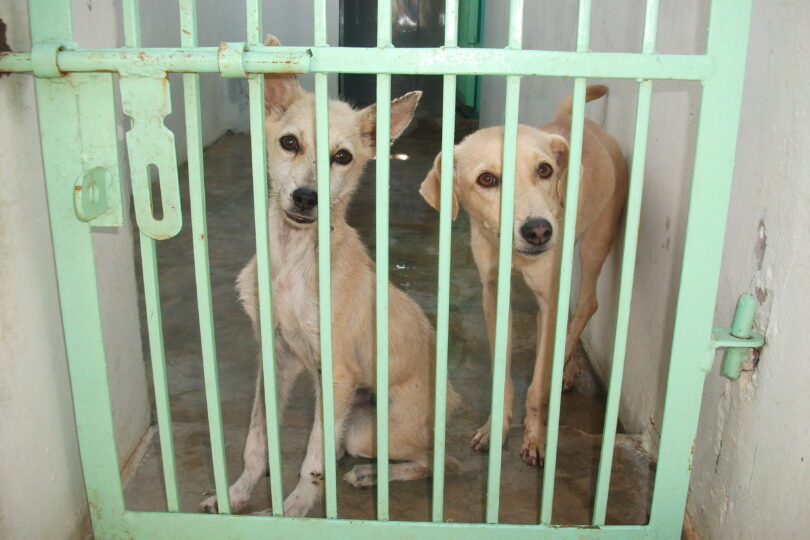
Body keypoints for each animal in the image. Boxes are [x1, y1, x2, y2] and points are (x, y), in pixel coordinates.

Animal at [199, 33, 458, 516]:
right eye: (289, 142)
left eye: (342, 157)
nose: (306, 198)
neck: (294, 259)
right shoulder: (275, 358)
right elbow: (257, 438)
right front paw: (238, 491)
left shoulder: (336, 374)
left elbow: (310, 460)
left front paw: (295, 508)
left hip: (370, 429)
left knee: (437, 461)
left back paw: (369, 475)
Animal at [416, 84, 624, 464]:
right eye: (487, 179)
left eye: (544, 170)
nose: (539, 231)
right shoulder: (494, 295)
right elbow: (503, 375)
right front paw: (494, 428)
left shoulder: (547, 298)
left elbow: (538, 383)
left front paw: (535, 437)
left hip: (596, 242)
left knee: (588, 304)